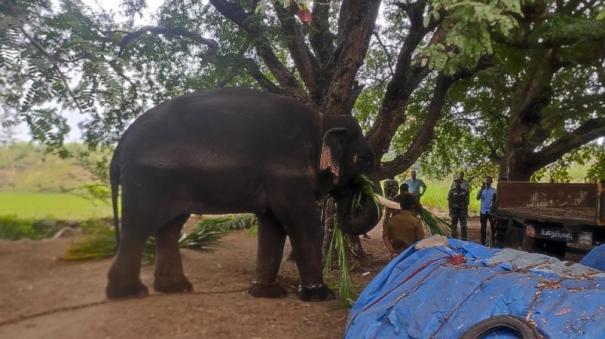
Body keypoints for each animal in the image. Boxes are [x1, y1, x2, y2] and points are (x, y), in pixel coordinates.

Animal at [106, 87, 380, 302]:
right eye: (364, 161)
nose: (357, 194)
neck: (322, 120)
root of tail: (120, 146)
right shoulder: (287, 175)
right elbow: (302, 222)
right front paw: (320, 296)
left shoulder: (276, 179)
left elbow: (273, 225)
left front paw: (266, 293)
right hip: (146, 181)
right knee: (138, 228)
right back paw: (130, 293)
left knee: (169, 229)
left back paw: (175, 288)